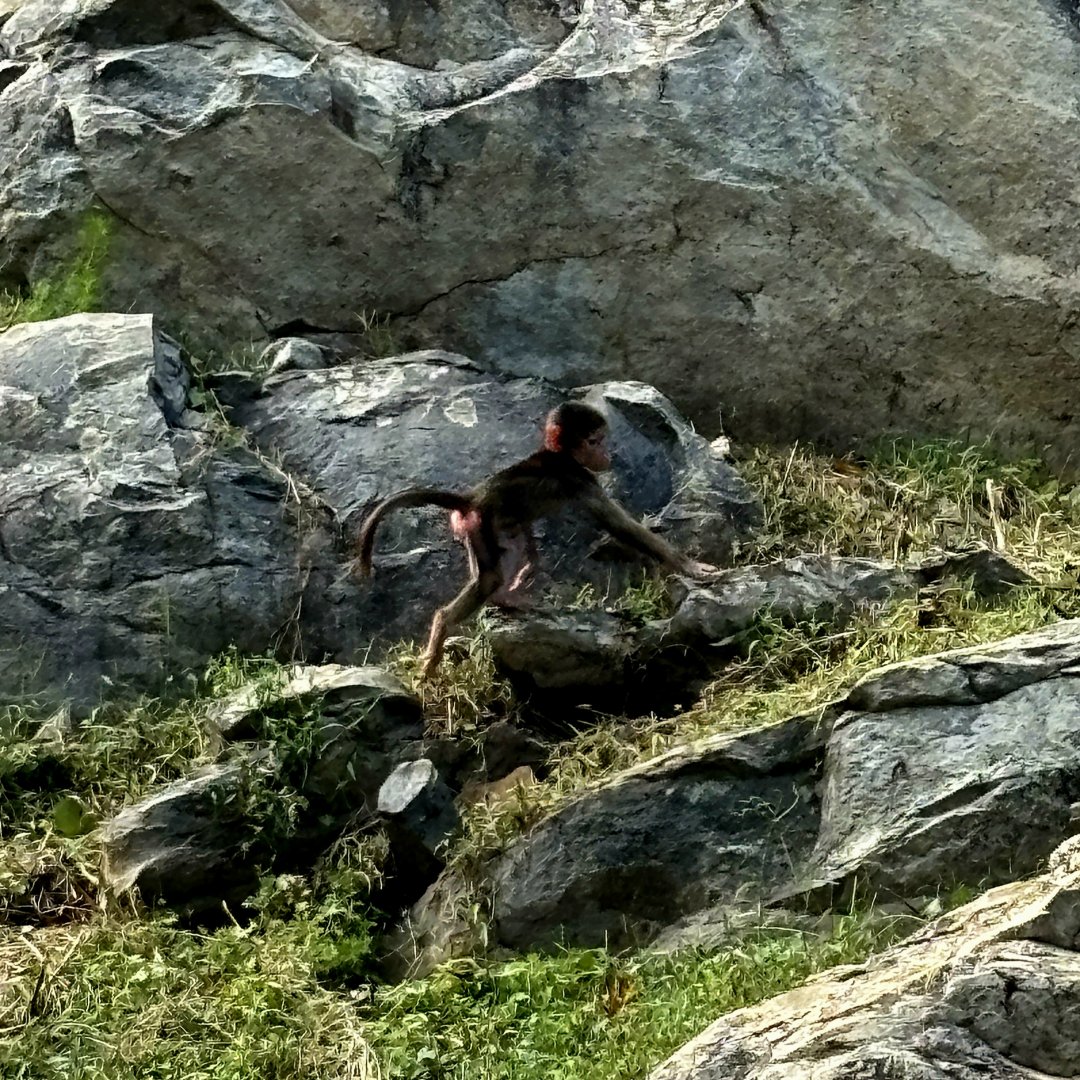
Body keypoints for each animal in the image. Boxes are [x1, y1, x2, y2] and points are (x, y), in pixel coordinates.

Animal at [356, 401, 718, 676]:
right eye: (594, 441)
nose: (607, 455)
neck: (560, 456)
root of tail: (473, 498)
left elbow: (528, 535)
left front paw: (529, 569)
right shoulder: (580, 480)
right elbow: (619, 526)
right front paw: (692, 567)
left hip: (479, 528)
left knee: (505, 553)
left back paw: (503, 598)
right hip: (480, 525)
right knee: (488, 578)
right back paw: (445, 629)